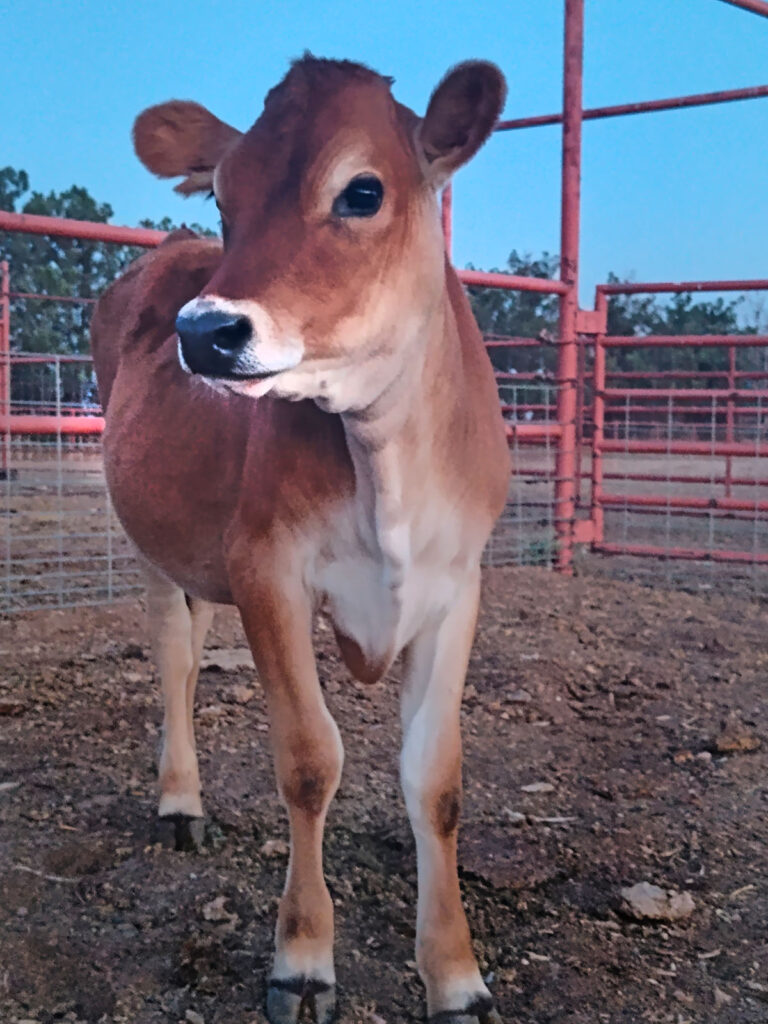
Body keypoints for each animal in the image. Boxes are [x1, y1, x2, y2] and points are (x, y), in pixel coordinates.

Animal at [90, 58, 512, 1024]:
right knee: (173, 656)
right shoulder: (268, 571)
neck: (383, 454)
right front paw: (304, 961)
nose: (204, 331)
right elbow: (311, 760)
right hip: (155, 543)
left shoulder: (457, 584)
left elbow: (436, 779)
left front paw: (456, 975)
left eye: (363, 191)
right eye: (224, 199)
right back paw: (180, 800)